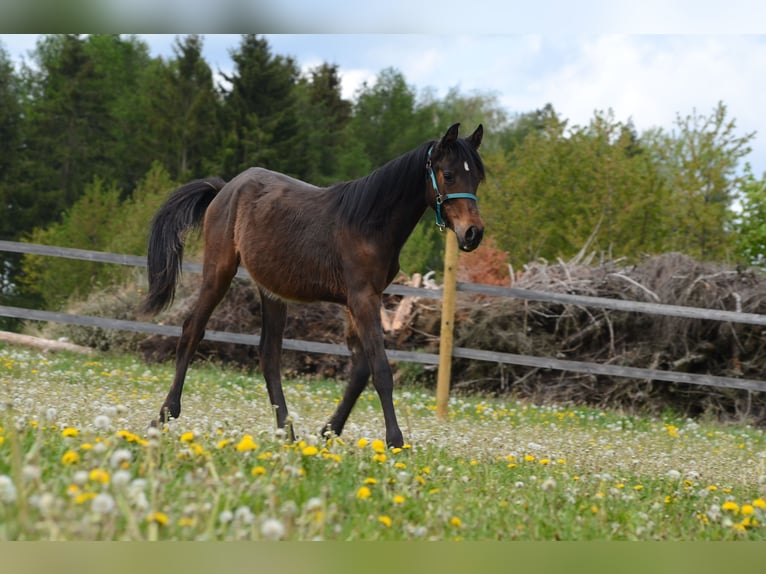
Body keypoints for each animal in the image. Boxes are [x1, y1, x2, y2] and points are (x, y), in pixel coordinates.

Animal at [140, 123, 485, 448]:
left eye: (478, 178)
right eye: (449, 175)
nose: (473, 233)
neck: (369, 223)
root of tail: (225, 188)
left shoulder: (358, 300)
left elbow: (361, 369)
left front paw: (328, 431)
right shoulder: (362, 299)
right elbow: (380, 369)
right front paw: (395, 441)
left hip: (272, 290)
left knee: (269, 355)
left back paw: (287, 432)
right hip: (219, 272)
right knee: (192, 330)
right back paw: (165, 415)